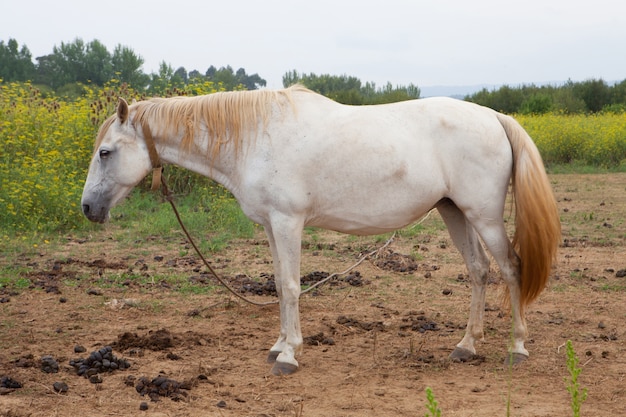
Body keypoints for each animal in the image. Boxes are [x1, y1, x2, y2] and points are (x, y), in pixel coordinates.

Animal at [81, 84, 556, 374]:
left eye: (105, 152)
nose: (88, 208)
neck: (256, 138)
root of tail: (494, 117)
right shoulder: (271, 226)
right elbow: (278, 283)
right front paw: (278, 345)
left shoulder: (288, 222)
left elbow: (292, 286)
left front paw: (289, 355)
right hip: (454, 212)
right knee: (478, 271)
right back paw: (466, 346)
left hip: (484, 215)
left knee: (510, 268)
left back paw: (516, 348)